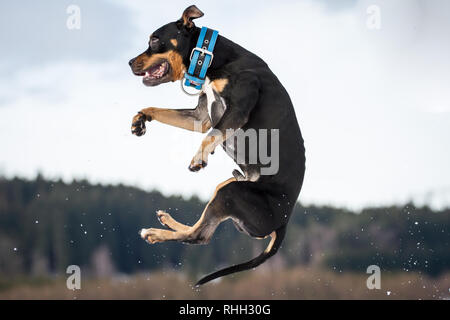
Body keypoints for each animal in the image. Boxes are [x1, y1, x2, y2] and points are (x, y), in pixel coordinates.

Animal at [128, 5, 308, 284]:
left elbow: (211, 135)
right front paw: (140, 120)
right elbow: (160, 110)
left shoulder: (236, 111)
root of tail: (283, 224)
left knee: (198, 235)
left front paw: (198, 158)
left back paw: (154, 233)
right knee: (201, 230)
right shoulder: (201, 116)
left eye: (155, 40)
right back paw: (166, 222)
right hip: (228, 185)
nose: (129, 63)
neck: (214, 59)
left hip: (230, 191)